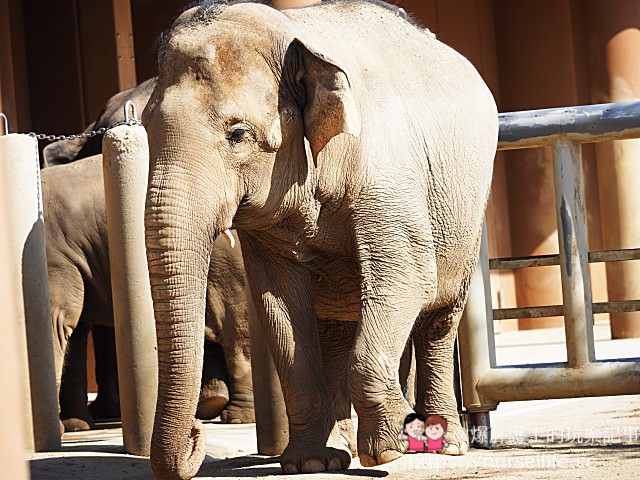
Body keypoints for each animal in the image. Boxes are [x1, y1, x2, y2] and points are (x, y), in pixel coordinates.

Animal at [39, 153, 255, 432]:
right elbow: (73, 330)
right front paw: (76, 426)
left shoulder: (53, 255)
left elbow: (57, 321)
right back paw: (211, 405)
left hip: (228, 261)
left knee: (235, 330)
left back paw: (237, 417)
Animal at [142, 1, 498, 478]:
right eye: (145, 127)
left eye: (238, 134)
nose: (198, 435)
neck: (297, 37)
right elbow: (278, 303)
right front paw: (310, 461)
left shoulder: (386, 177)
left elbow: (408, 278)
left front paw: (387, 451)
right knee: (337, 327)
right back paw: (351, 445)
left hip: (467, 210)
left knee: (438, 316)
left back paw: (443, 444)